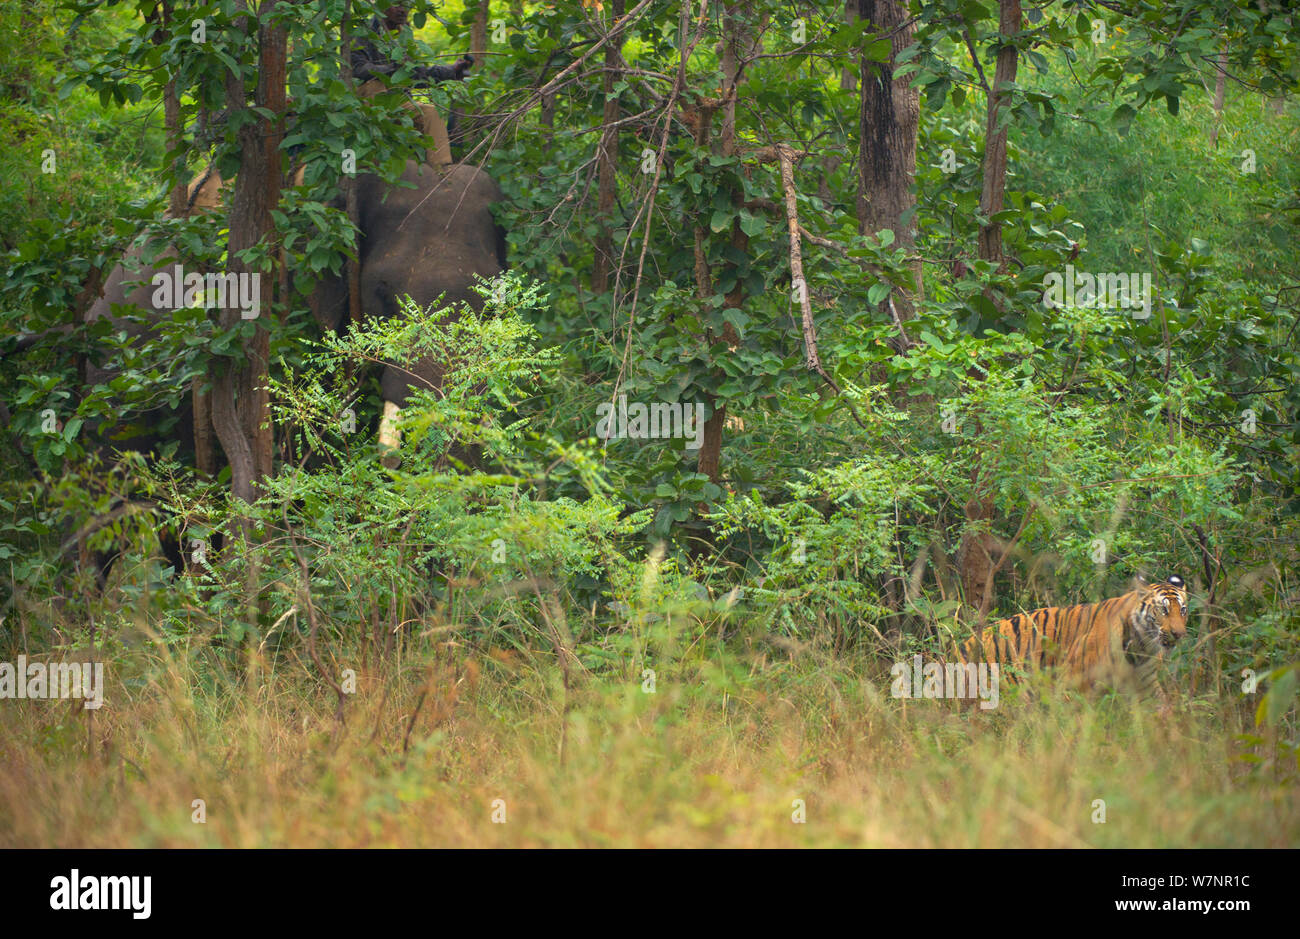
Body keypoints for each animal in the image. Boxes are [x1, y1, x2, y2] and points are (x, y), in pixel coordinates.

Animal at [952, 575, 1189, 703]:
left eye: (1183, 610)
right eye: (1163, 610)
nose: (1179, 634)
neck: (1141, 646)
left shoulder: (1146, 683)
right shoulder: (1075, 681)